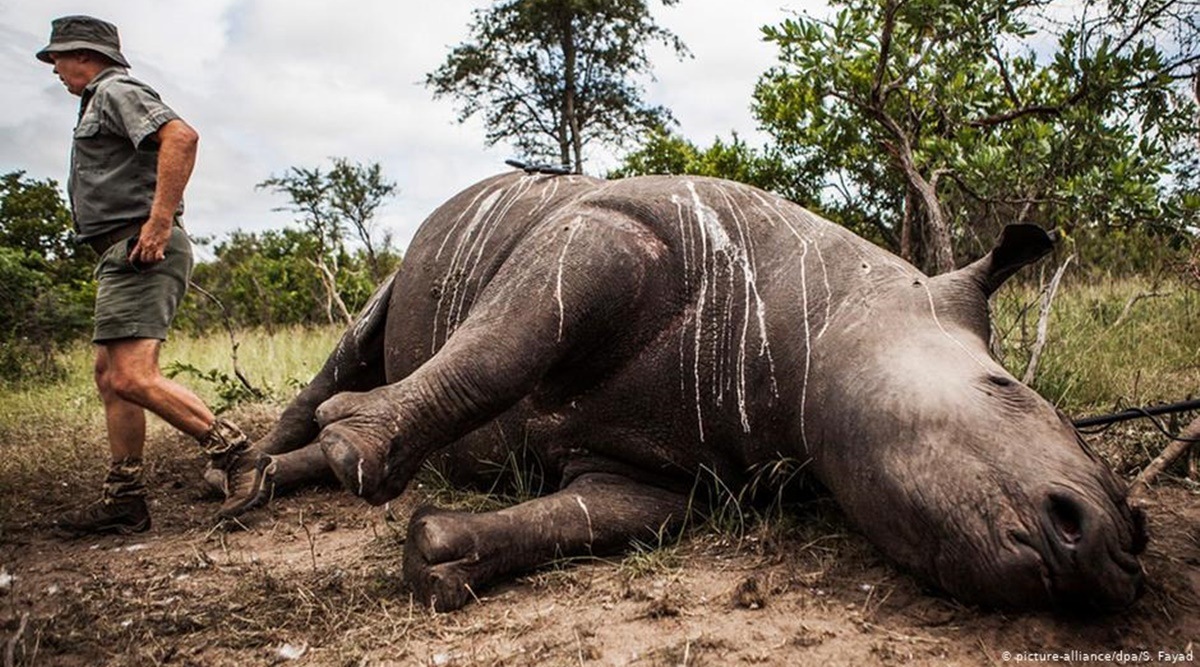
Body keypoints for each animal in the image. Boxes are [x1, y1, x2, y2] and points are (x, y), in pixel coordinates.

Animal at [245, 171, 1147, 612]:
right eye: (1002, 387)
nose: (1115, 550)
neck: (822, 313)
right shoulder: (615, 226)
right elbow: (502, 346)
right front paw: (353, 445)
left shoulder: (663, 466)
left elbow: (599, 516)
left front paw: (438, 554)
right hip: (444, 247)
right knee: (358, 341)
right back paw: (248, 478)